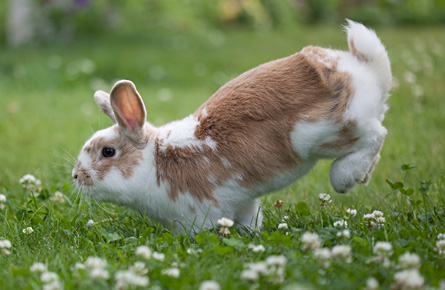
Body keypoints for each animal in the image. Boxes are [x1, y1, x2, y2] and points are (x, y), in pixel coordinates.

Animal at [73, 19, 392, 233]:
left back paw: (346, 177)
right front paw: (252, 236)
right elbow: (250, 219)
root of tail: (364, 69)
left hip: (325, 133)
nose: (76, 176)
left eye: (108, 152)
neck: (155, 160)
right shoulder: (243, 203)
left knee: (376, 134)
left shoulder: (197, 213)